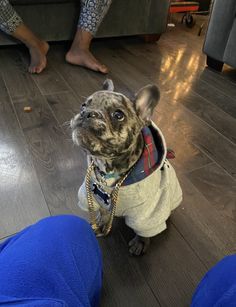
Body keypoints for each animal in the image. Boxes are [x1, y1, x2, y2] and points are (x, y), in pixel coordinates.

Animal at [71, 79, 182, 255]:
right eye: (83, 106)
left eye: (118, 115)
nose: (87, 113)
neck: (108, 170)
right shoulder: (95, 197)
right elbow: (103, 211)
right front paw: (101, 223)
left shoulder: (147, 212)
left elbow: (143, 229)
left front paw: (141, 242)